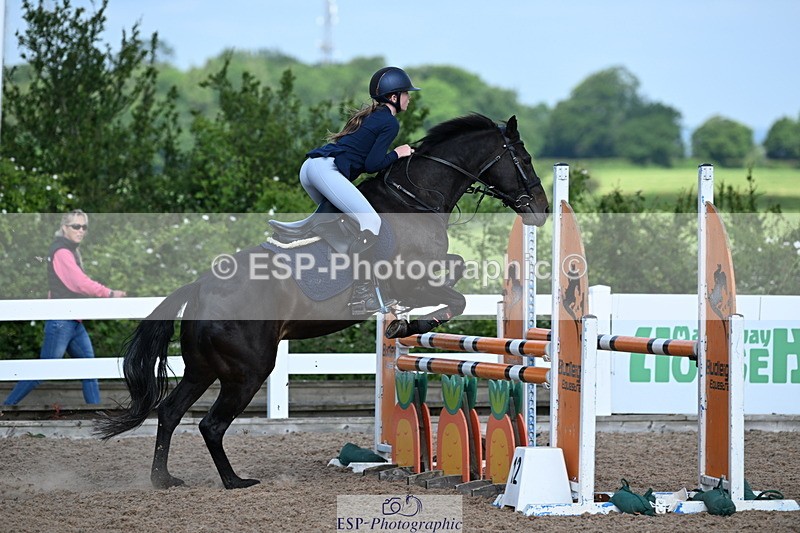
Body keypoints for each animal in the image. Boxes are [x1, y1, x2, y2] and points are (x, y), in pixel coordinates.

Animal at [95, 113, 549, 489]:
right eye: (524, 160)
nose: (542, 211)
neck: (414, 199)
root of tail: (200, 288)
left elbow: (455, 274)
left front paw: (402, 321)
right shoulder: (413, 281)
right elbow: (454, 291)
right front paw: (407, 323)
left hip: (203, 368)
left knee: (170, 412)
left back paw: (163, 479)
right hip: (248, 371)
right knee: (211, 424)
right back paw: (235, 481)